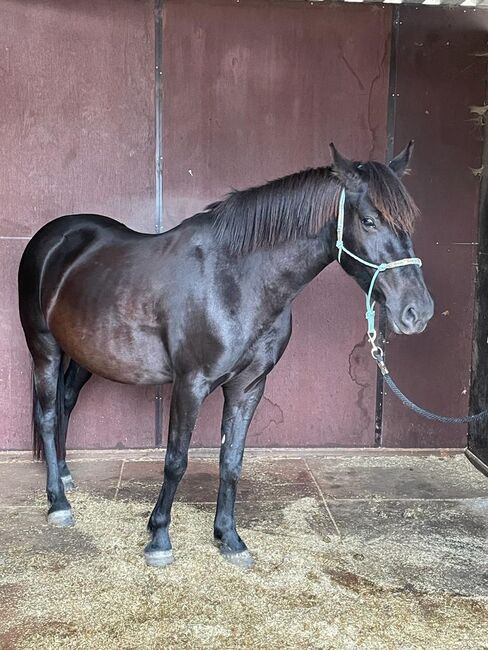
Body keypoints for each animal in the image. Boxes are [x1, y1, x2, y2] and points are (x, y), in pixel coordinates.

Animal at [17, 143, 432, 568]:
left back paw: (65, 475)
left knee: (66, 402)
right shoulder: (190, 384)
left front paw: (229, 538)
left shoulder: (248, 387)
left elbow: (231, 462)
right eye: (368, 221)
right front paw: (159, 537)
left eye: (409, 223)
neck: (234, 281)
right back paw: (58, 503)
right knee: (47, 416)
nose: (417, 312)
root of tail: (52, 237)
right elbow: (176, 460)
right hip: (44, 347)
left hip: (87, 355)